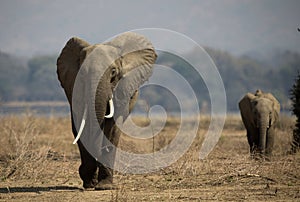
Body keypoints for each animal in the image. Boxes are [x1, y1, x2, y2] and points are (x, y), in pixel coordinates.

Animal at [57, 32, 158, 189]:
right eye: (82, 73)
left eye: (113, 72)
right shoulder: (73, 86)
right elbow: (80, 123)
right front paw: (89, 182)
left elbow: (113, 126)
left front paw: (104, 186)